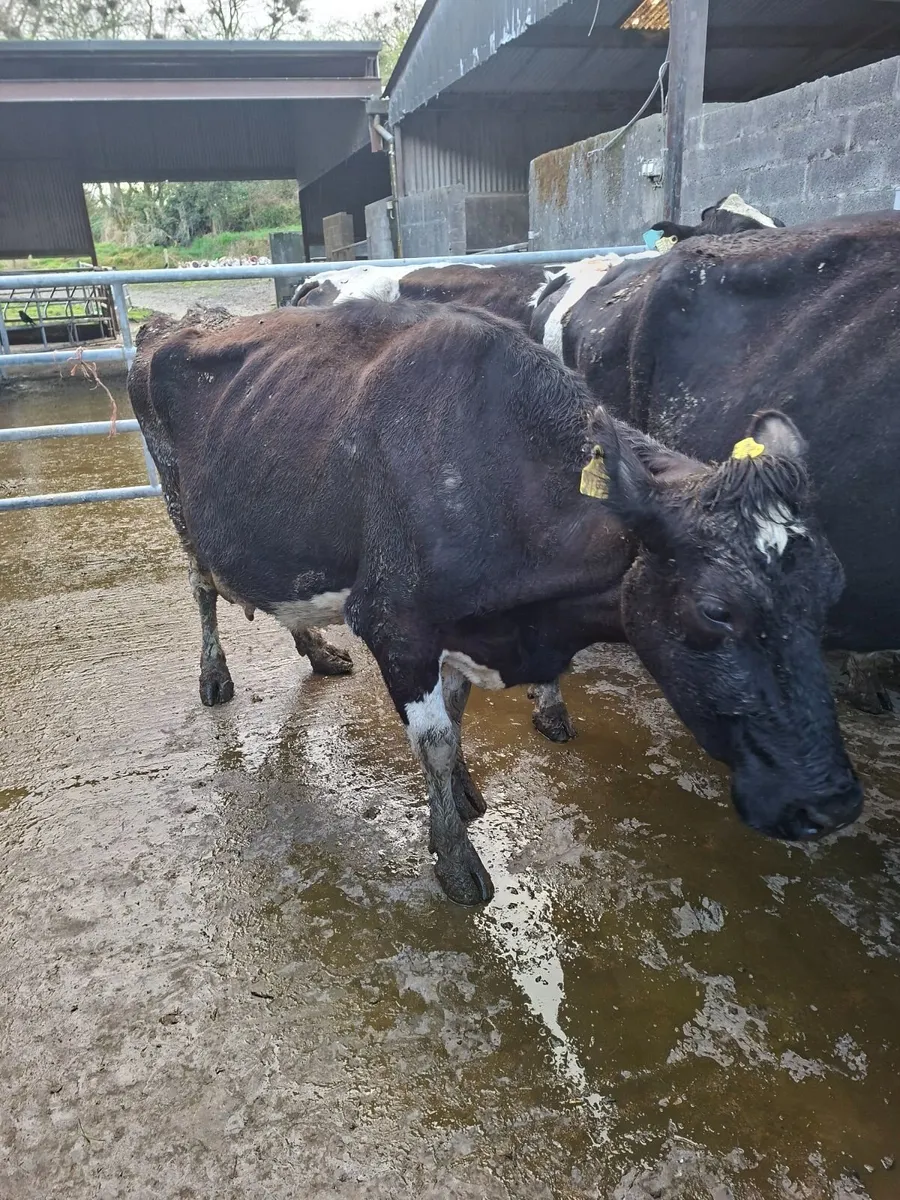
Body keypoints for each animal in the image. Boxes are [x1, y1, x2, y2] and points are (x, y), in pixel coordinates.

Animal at [129, 298, 862, 906]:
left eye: (833, 588)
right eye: (716, 609)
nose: (831, 804)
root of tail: (175, 320)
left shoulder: (464, 628)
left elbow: (456, 720)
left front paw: (460, 798)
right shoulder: (397, 624)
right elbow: (435, 740)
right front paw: (456, 860)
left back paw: (317, 650)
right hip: (182, 512)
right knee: (202, 589)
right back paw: (215, 676)